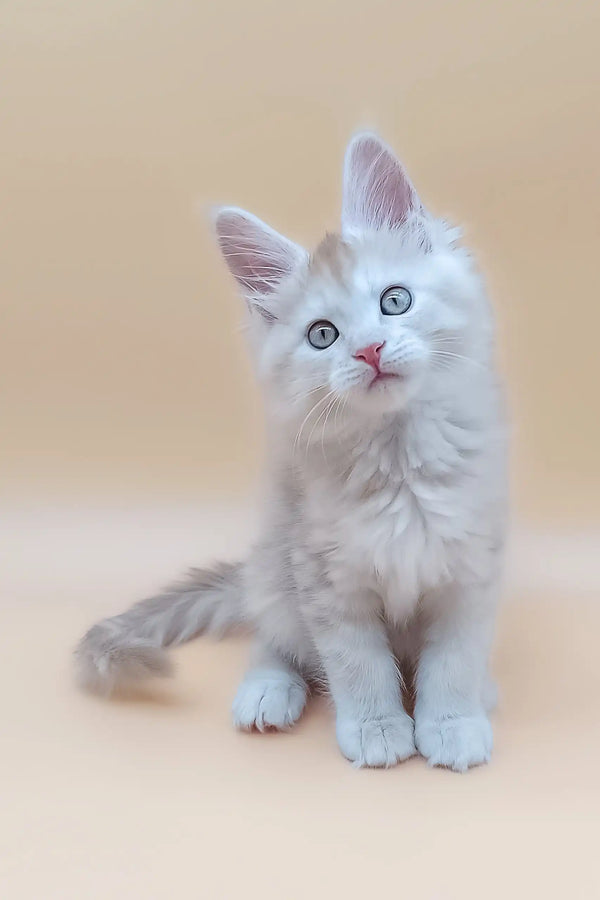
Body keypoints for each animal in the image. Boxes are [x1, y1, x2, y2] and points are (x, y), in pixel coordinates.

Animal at [75, 134, 506, 772]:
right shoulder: (325, 578)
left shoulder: (469, 569)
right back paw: (267, 692)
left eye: (395, 300)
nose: (370, 350)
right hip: (277, 567)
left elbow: (453, 661)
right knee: (273, 637)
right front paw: (377, 730)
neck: (398, 460)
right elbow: (358, 665)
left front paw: (452, 723)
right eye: (323, 335)